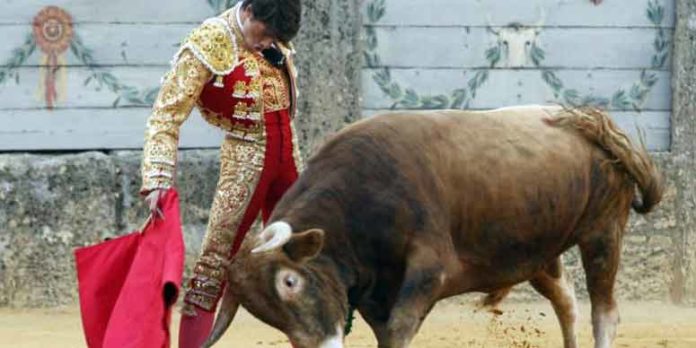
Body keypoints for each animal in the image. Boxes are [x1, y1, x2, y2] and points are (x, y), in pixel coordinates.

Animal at [204, 105, 660, 348]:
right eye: (265, 315)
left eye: (290, 282)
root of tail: (593, 124)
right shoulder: (375, 292)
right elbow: (387, 333)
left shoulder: (430, 271)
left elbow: (399, 328)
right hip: (538, 253)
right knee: (567, 301)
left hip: (603, 233)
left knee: (604, 311)